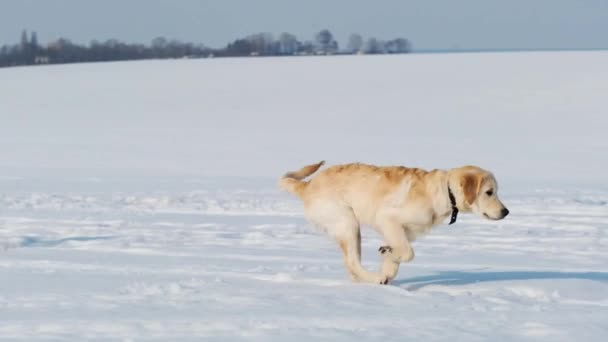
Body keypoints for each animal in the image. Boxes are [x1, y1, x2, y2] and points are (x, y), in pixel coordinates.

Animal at [280, 162, 508, 284]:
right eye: (489, 192)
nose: (506, 212)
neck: (443, 191)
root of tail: (307, 186)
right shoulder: (388, 219)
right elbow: (408, 253)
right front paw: (386, 256)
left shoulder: (401, 233)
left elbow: (398, 258)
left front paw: (388, 267)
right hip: (348, 222)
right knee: (352, 262)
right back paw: (373, 279)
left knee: (351, 264)